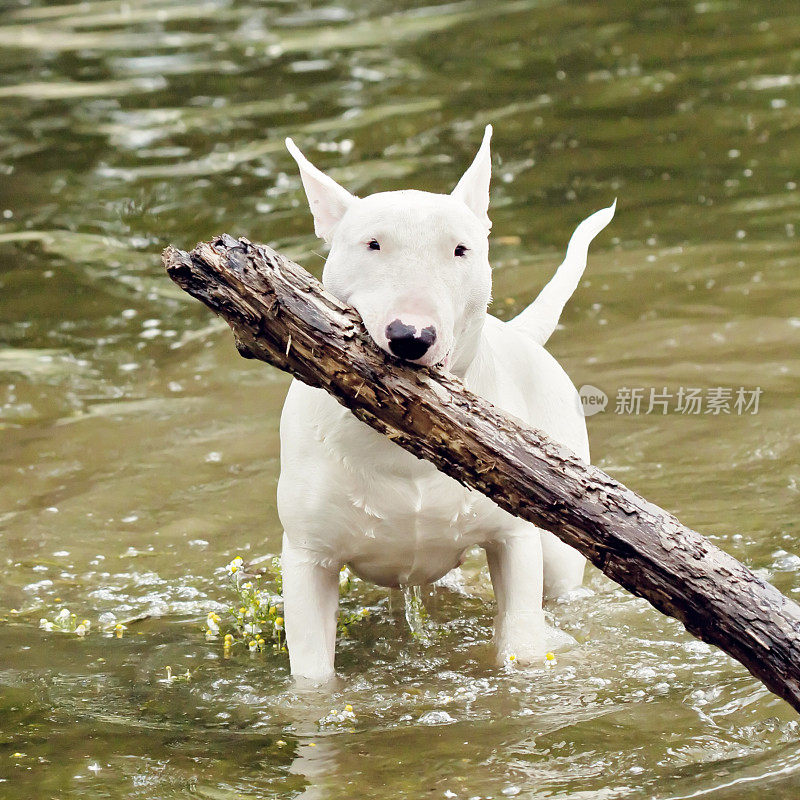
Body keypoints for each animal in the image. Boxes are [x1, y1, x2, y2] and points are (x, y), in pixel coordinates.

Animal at [276, 126, 612, 680]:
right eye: (373, 244)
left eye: (460, 249)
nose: (411, 336)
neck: (402, 438)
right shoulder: (308, 556)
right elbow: (312, 674)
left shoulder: (514, 538)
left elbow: (520, 639)